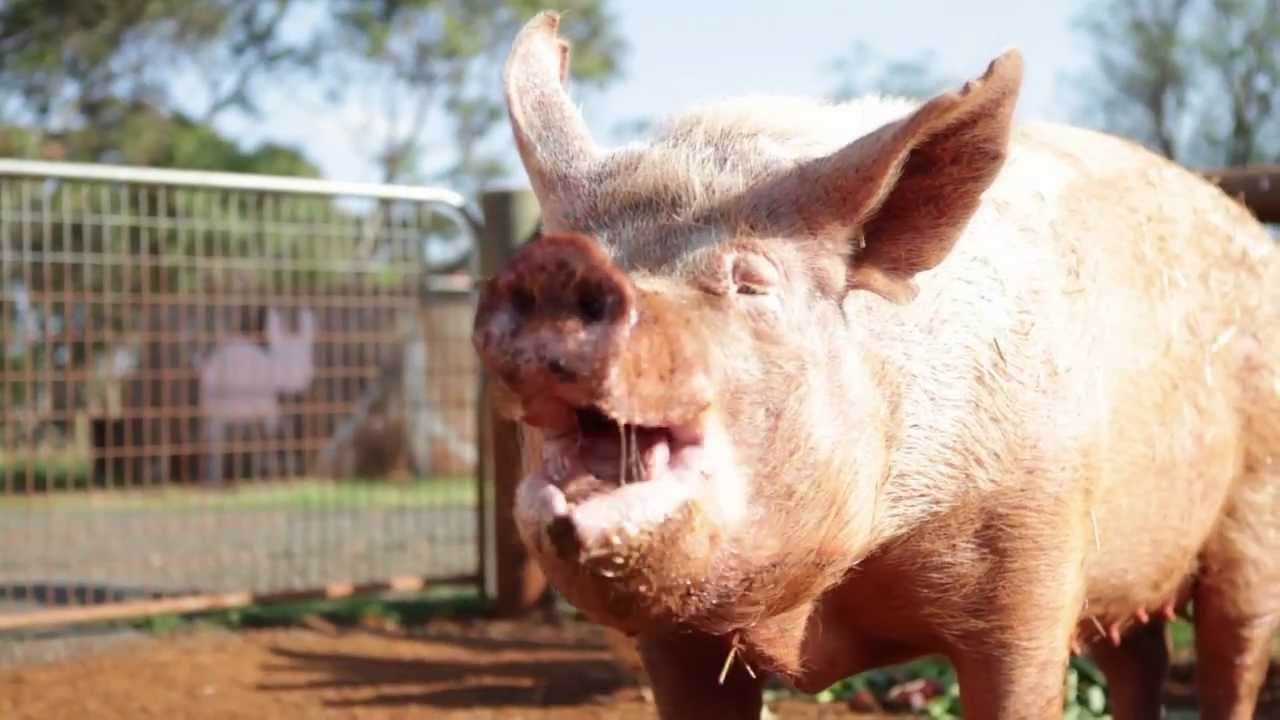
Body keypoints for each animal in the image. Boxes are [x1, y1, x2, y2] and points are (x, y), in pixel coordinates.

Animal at [472, 12, 1280, 720]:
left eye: (750, 280)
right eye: (568, 241)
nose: (558, 264)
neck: (827, 603)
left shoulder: (1034, 556)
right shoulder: (678, 637)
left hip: (1253, 513)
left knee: (1230, 653)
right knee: (1138, 657)